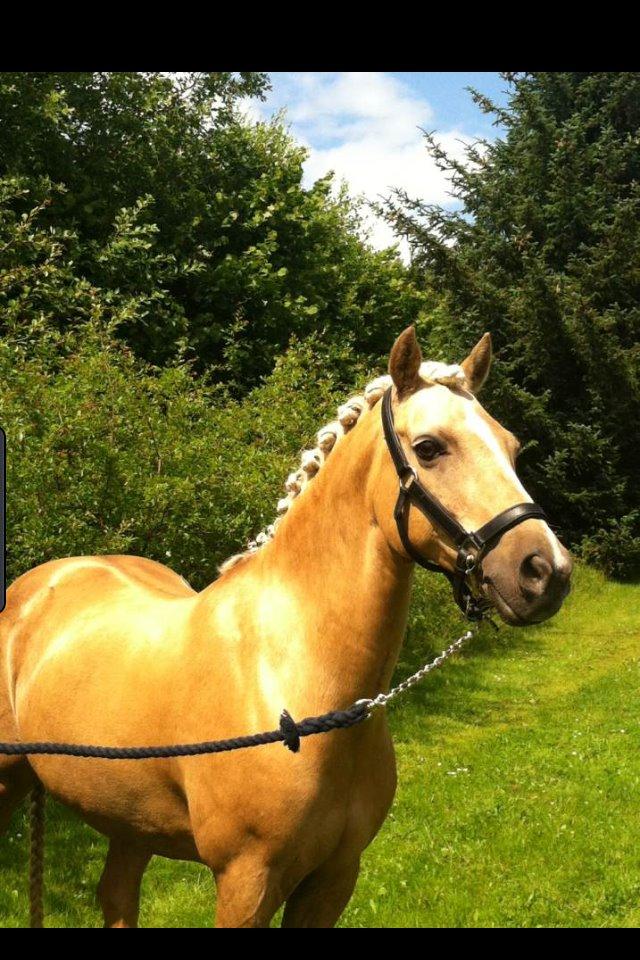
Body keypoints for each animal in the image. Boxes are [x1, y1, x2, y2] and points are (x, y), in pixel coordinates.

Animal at [0, 327, 572, 927]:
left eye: (511, 447)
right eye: (429, 448)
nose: (545, 571)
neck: (293, 679)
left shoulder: (333, 879)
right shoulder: (245, 882)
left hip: (130, 823)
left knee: (116, 895)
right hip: (8, 782)